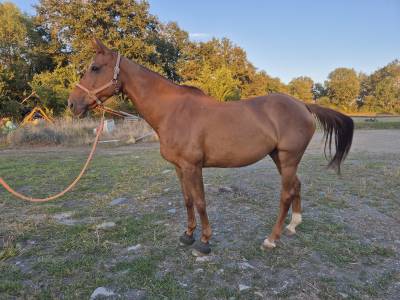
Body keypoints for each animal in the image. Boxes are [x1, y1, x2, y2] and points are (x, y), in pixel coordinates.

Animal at [69, 39, 354, 255]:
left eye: (95, 67)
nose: (73, 104)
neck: (173, 111)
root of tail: (303, 105)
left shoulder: (193, 167)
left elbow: (201, 202)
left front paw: (205, 242)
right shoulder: (179, 168)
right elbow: (187, 200)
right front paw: (187, 235)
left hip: (288, 159)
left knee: (286, 194)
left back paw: (272, 239)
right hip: (280, 159)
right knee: (296, 186)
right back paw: (293, 225)